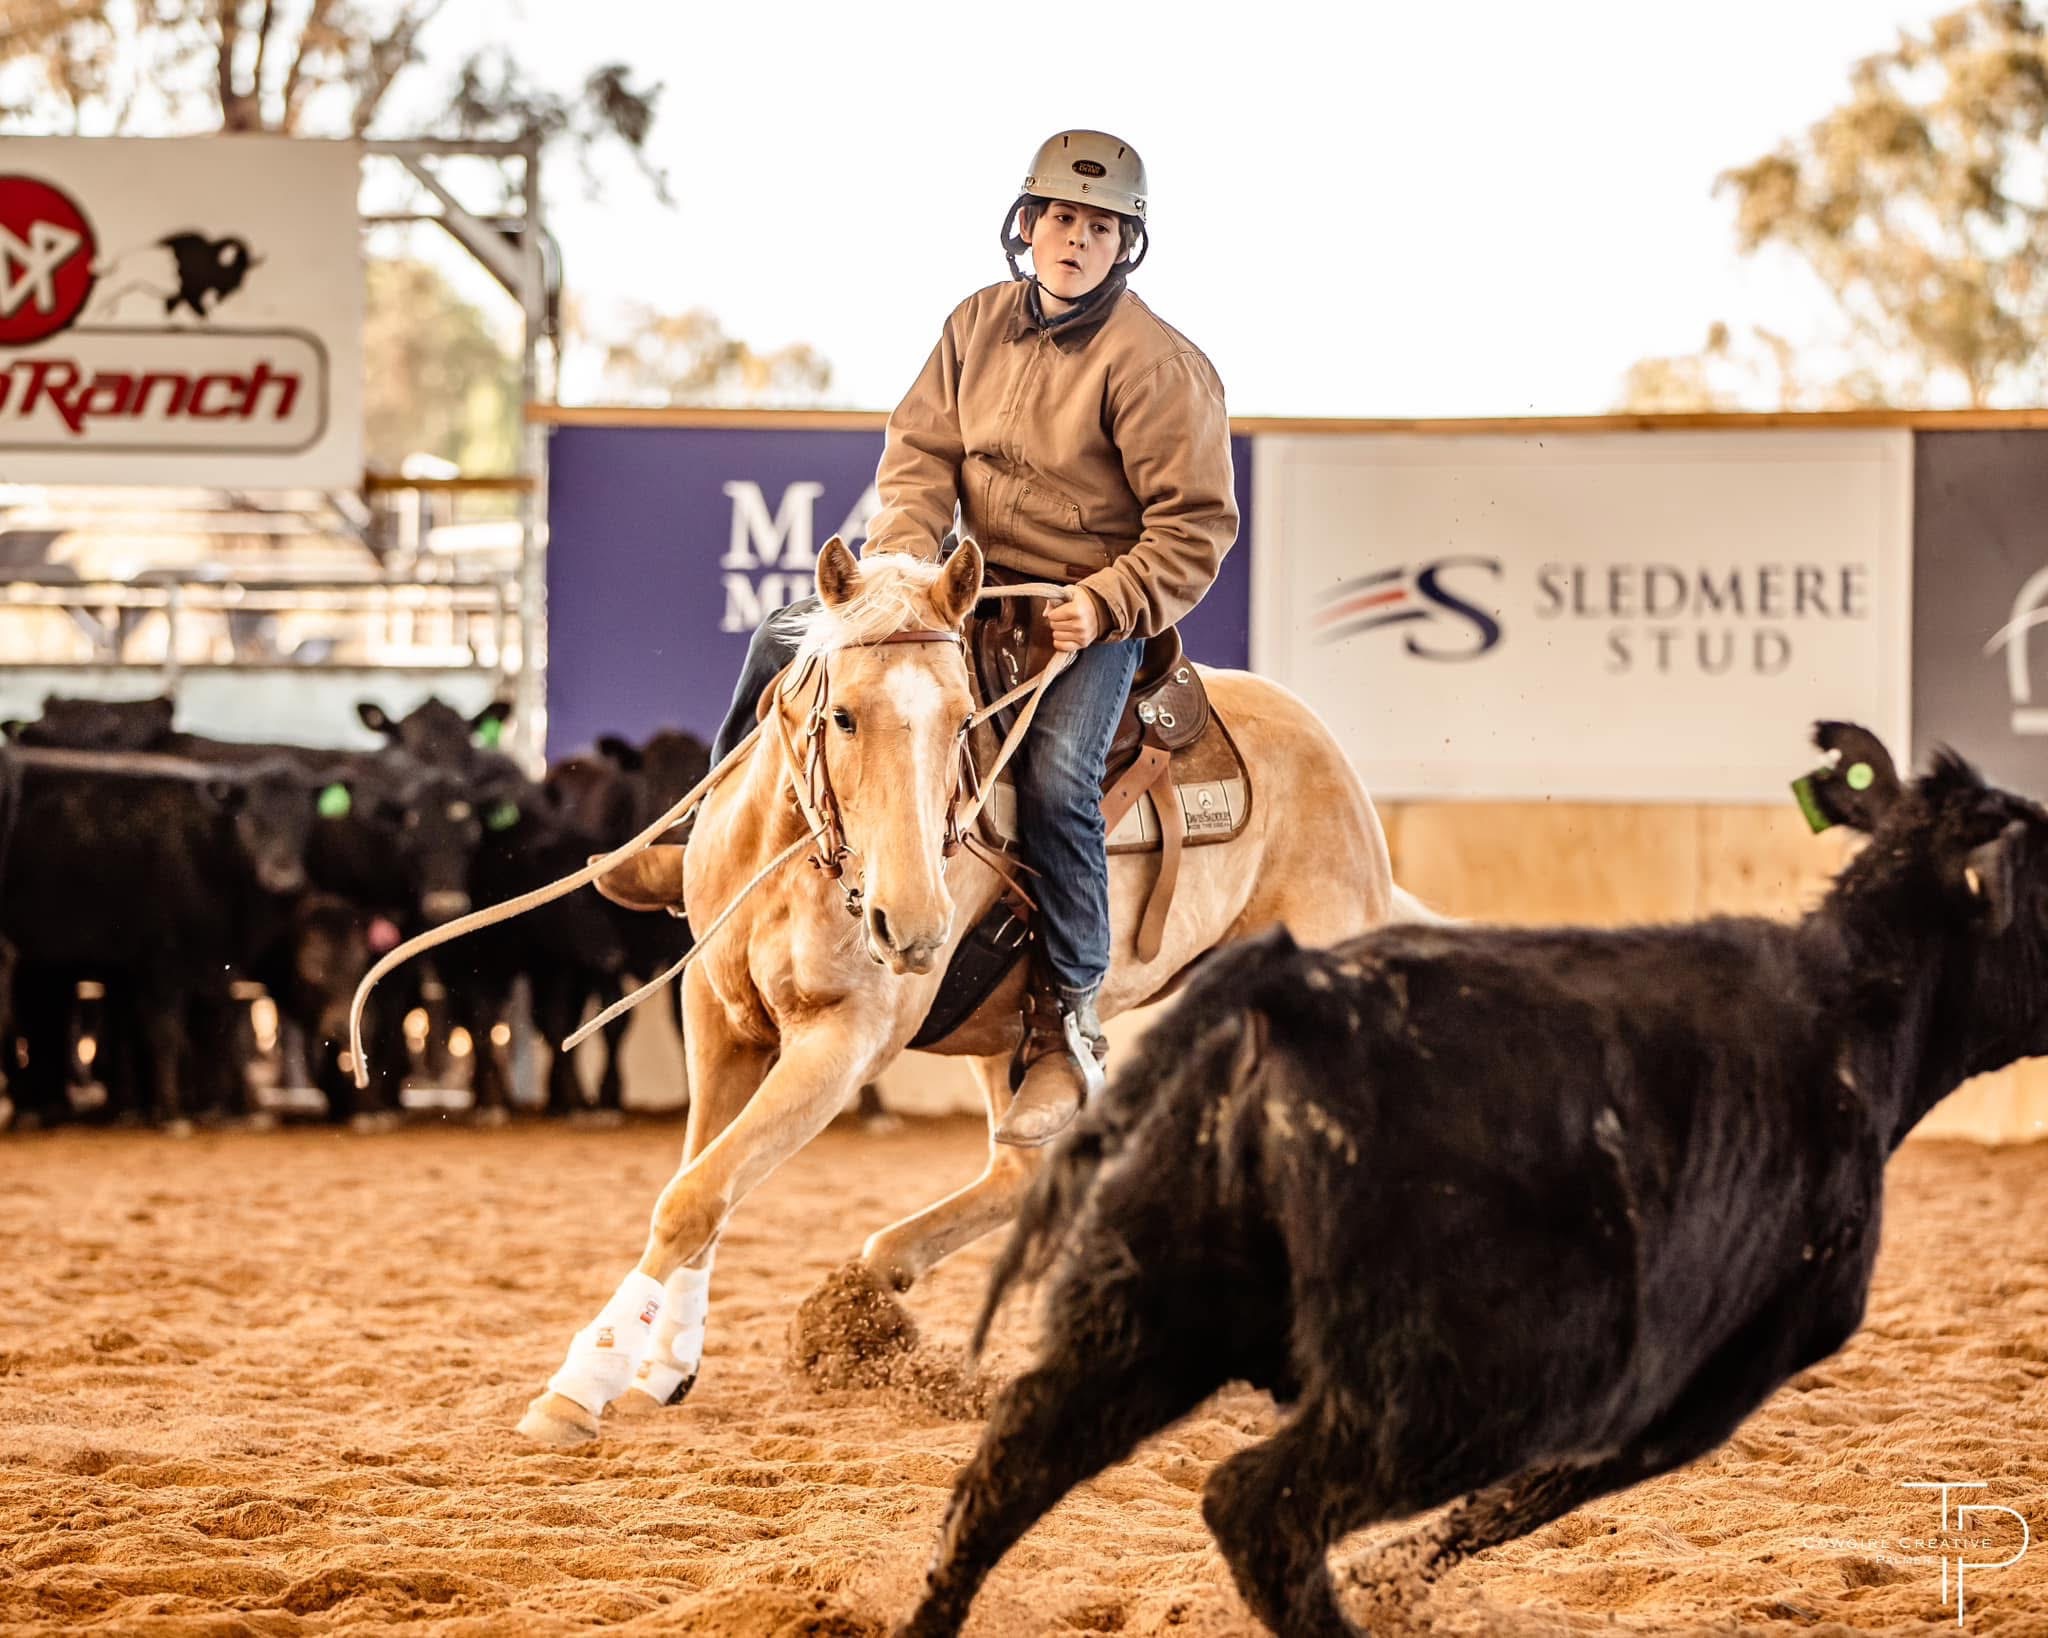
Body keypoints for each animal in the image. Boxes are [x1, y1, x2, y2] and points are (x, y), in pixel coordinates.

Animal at [515, 536, 1400, 1446]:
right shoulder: (719, 1013)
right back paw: (875, 1279)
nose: (913, 922)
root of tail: (1343, 783)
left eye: (962, 720)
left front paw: (581, 1383)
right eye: (844, 717)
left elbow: (696, 1196)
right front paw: (665, 1362)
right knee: (1024, 1167)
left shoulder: (844, 1040)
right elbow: (705, 1184)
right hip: (1002, 1032)